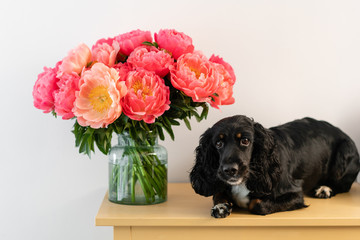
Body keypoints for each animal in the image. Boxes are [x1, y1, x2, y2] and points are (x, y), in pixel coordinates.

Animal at [190, 116, 358, 218]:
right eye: (218, 143)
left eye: (245, 140)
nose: (229, 170)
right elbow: (218, 194)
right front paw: (221, 207)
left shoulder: (295, 194)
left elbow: (256, 204)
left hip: (344, 152)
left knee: (343, 185)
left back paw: (324, 189)